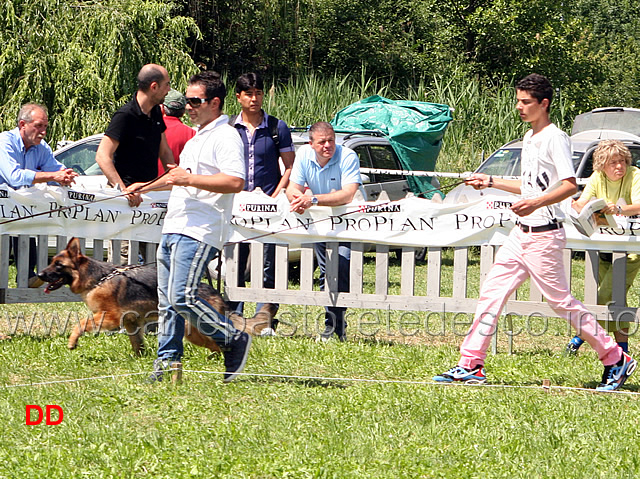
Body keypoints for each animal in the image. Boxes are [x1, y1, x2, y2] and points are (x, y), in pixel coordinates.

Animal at [36, 239, 274, 356]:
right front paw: (138, 358)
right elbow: (137, 343)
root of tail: (215, 292)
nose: (39, 275)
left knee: (218, 341)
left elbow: (80, 324)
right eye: (51, 263)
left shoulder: (109, 317)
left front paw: (72, 341)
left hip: (194, 331)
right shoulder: (130, 323)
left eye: (58, 265)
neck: (98, 278)